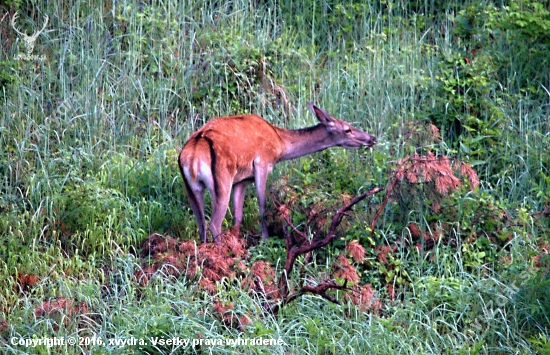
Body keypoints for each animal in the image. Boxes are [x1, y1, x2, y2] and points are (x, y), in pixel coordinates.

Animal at [179, 101, 378, 243]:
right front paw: (266, 239)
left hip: (192, 187)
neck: (281, 144)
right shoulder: (262, 163)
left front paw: (237, 241)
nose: (372, 138)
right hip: (221, 181)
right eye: (347, 129)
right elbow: (262, 204)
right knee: (214, 223)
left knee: (201, 223)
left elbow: (238, 214)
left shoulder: (241, 180)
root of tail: (193, 156)